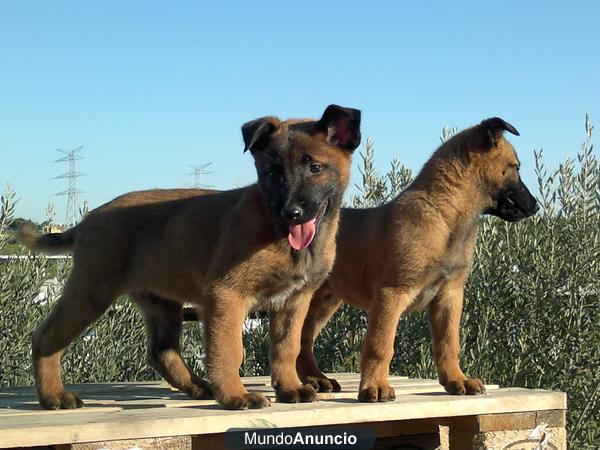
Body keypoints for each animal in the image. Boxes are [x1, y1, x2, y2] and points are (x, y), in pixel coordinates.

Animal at [18, 103, 360, 410]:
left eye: (315, 168)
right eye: (272, 173)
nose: (292, 212)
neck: (277, 230)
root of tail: (88, 219)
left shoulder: (294, 301)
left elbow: (286, 348)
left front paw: (289, 388)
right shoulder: (227, 295)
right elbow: (229, 350)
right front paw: (235, 396)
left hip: (161, 302)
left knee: (161, 351)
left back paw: (199, 387)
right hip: (92, 291)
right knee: (45, 338)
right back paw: (54, 397)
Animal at [296, 116, 540, 400]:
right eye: (516, 167)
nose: (536, 206)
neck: (444, 214)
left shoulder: (450, 295)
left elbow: (448, 342)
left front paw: (456, 380)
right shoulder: (392, 294)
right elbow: (381, 344)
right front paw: (374, 386)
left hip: (324, 302)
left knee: (303, 340)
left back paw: (317, 379)